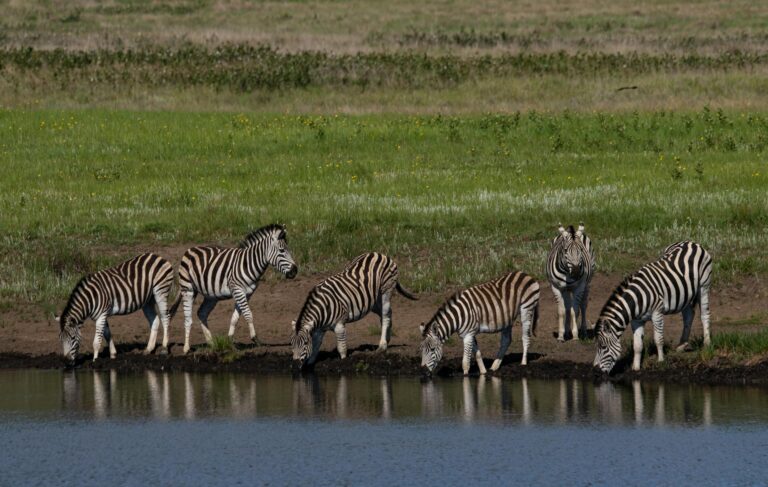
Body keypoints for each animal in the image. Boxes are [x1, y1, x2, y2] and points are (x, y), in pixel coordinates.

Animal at [178, 224, 298, 354]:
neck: (249, 264)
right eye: (282, 251)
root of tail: (190, 249)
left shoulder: (247, 293)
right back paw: (186, 348)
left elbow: (235, 317)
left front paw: (230, 340)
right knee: (188, 318)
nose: (295, 271)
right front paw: (255, 338)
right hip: (188, 288)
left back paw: (211, 343)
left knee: (202, 313)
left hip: (211, 295)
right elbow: (248, 314)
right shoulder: (238, 290)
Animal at [594, 241, 712, 373]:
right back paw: (682, 345)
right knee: (688, 316)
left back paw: (707, 344)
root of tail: (691, 242)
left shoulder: (657, 314)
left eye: (603, 347)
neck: (637, 299)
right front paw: (635, 367)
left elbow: (658, 339)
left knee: (704, 315)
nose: (595, 370)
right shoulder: (636, 320)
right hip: (685, 294)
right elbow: (637, 345)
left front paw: (660, 361)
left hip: (703, 286)